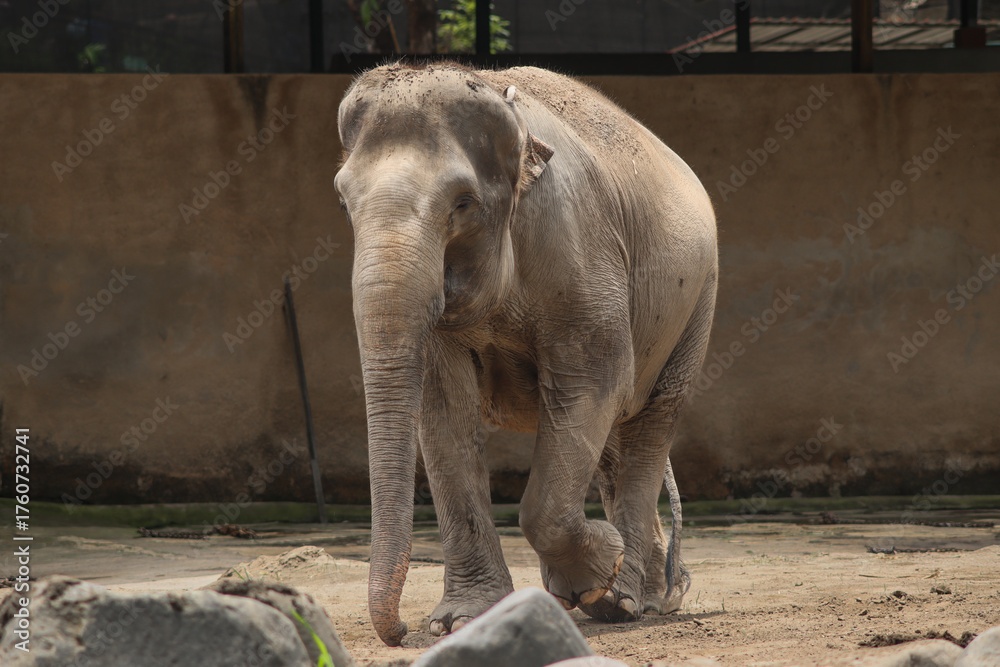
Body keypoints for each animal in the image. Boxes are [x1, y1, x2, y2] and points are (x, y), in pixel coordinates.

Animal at [335, 62, 717, 647]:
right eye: (342, 201)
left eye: (463, 203)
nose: (399, 632)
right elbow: (443, 409)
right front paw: (461, 621)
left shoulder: (579, 251)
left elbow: (593, 380)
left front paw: (597, 577)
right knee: (614, 441)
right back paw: (654, 592)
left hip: (698, 297)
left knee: (652, 419)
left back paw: (629, 600)